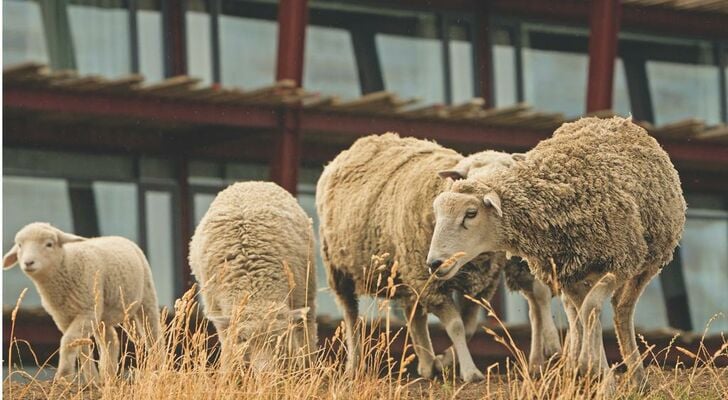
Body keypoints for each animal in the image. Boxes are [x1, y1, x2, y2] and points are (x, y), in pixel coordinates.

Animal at [1, 222, 161, 382]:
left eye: (49, 244)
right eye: (20, 245)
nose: (28, 263)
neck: (67, 266)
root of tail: (119, 237)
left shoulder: (86, 311)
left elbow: (69, 340)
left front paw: (64, 376)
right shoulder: (63, 318)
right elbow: (80, 346)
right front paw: (92, 380)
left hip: (145, 298)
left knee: (153, 334)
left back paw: (159, 366)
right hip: (102, 314)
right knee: (111, 339)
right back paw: (107, 374)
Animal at [316, 133, 560, 382]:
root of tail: (359, 145)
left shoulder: (481, 286)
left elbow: (468, 327)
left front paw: (444, 362)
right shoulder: (430, 280)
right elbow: (456, 326)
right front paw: (470, 371)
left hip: (408, 274)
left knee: (414, 315)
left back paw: (427, 364)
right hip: (341, 269)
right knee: (351, 315)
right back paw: (354, 365)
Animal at [424, 116, 684, 388]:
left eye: (471, 213)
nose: (434, 263)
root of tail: (617, 120)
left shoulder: (620, 261)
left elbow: (592, 307)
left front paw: (597, 373)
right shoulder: (565, 272)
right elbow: (584, 313)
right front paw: (592, 369)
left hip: (648, 261)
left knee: (621, 310)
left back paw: (636, 376)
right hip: (577, 273)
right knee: (579, 311)